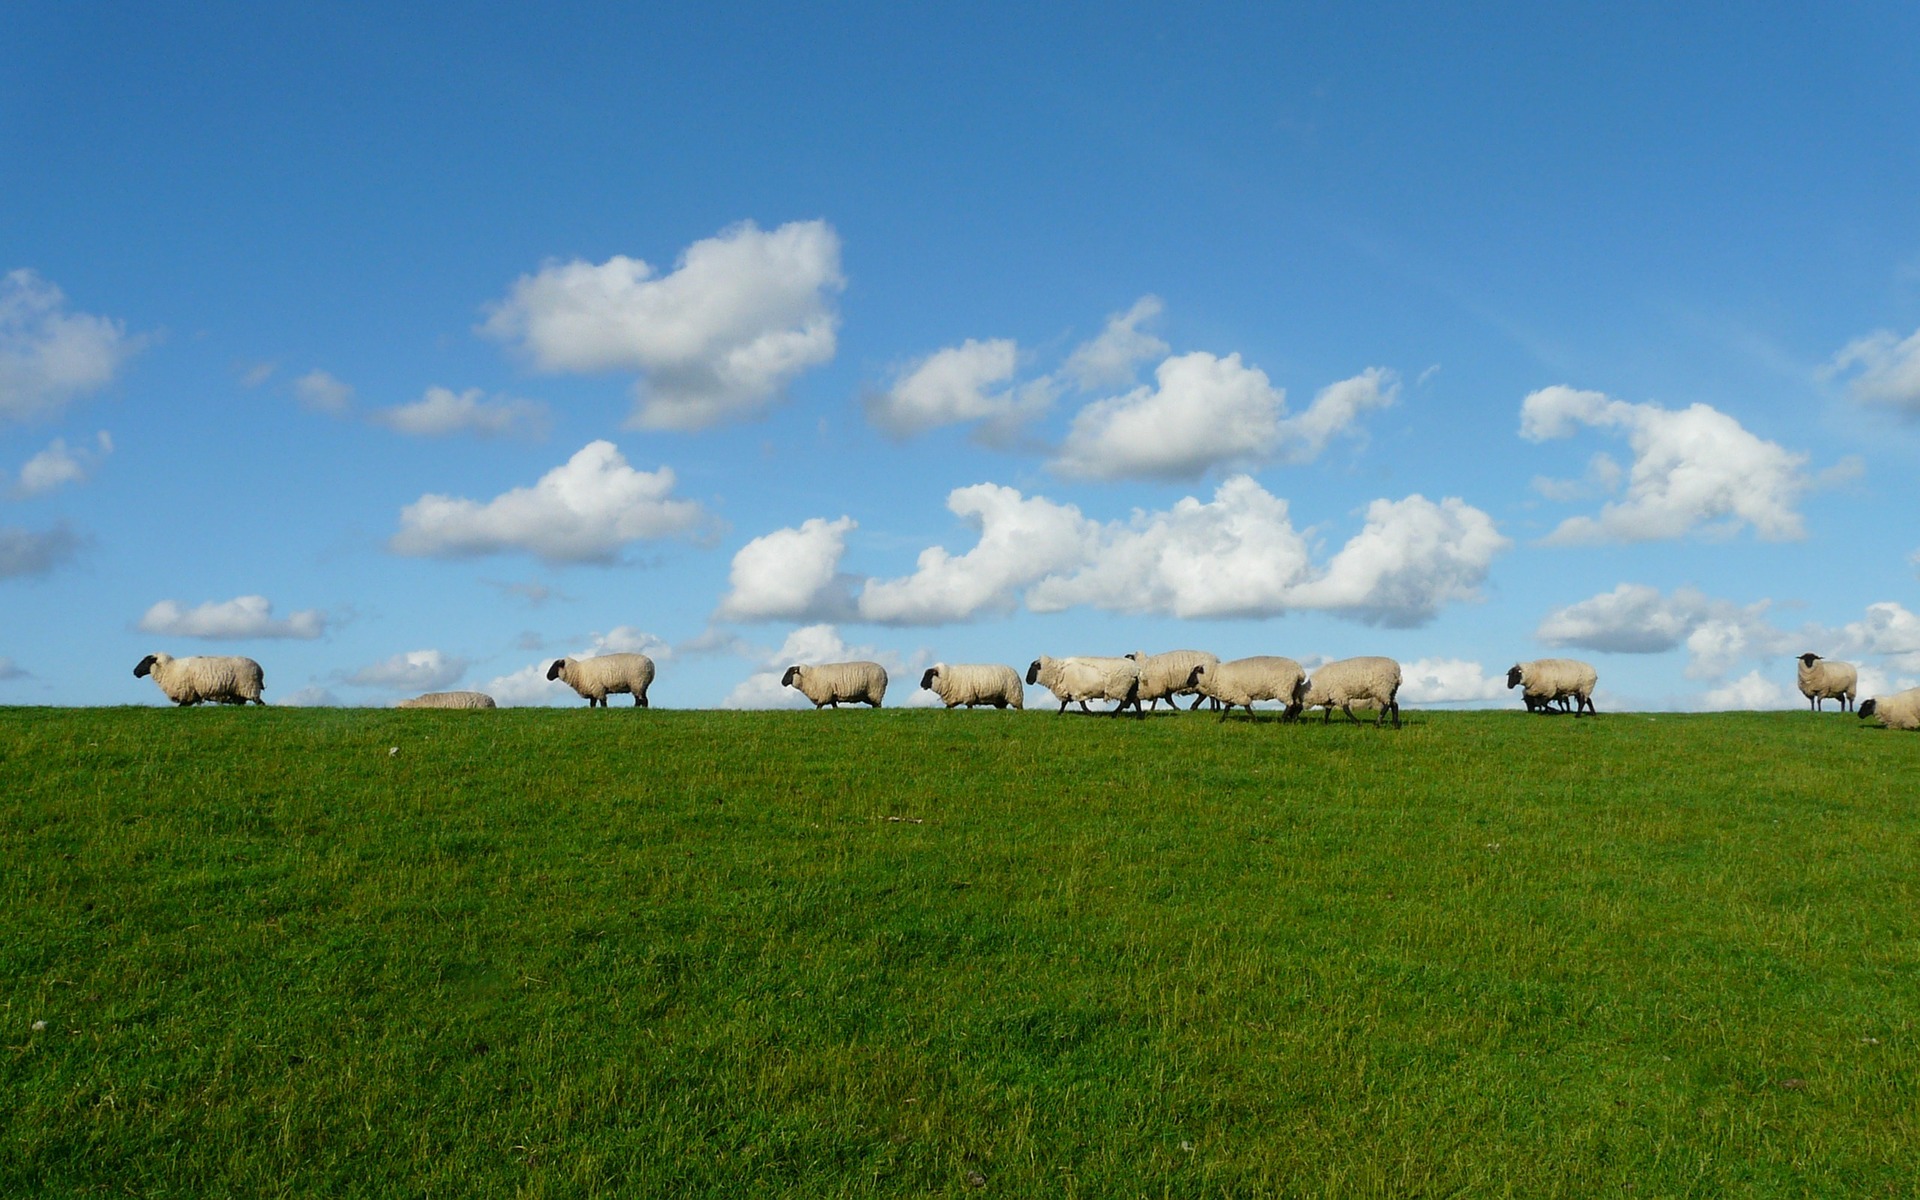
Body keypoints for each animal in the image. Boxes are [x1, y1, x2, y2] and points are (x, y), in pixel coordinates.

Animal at [132, 648, 266, 706]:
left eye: (146, 661)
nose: (135, 672)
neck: (170, 668)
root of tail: (259, 669)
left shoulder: (187, 693)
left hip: (249, 687)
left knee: (260, 703)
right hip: (238, 693)